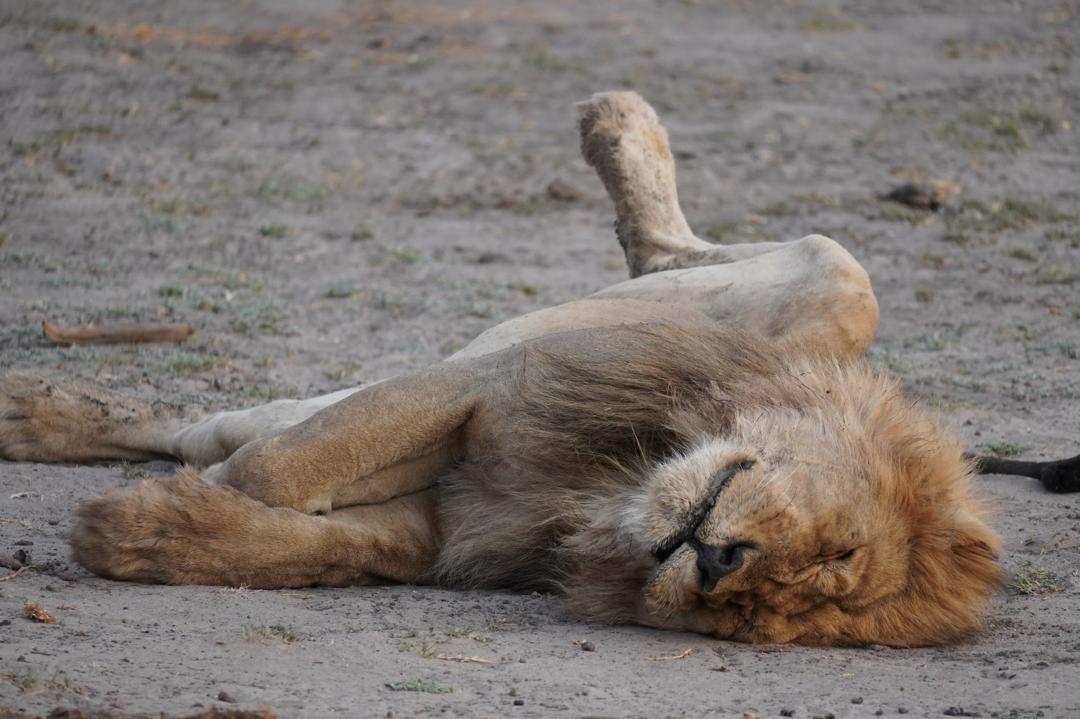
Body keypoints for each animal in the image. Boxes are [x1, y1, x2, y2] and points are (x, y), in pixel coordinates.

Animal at [1, 92, 1076, 647]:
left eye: (773, 606)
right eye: (839, 549)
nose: (718, 561)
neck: (624, 479)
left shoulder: (447, 526)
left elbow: (296, 540)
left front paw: (149, 528)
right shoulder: (491, 386)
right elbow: (277, 469)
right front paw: (191, 499)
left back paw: (42, 419)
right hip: (824, 294)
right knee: (700, 256)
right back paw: (622, 127)